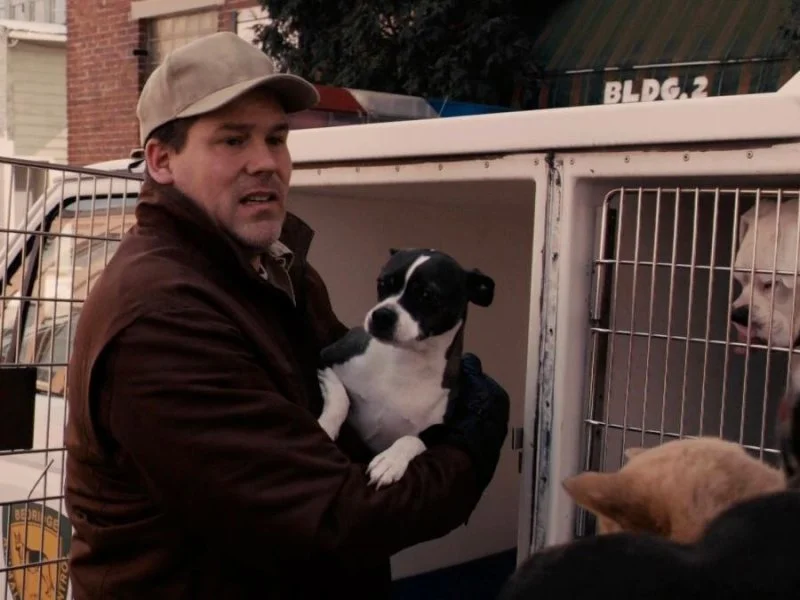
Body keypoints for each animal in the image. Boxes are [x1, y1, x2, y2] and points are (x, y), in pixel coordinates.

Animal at [315, 247, 495, 489]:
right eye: (382, 283)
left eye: (427, 295)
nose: (381, 315)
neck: (405, 360)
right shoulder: (325, 357)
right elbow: (339, 397)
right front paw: (325, 427)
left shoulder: (441, 432)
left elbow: (411, 439)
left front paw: (391, 461)